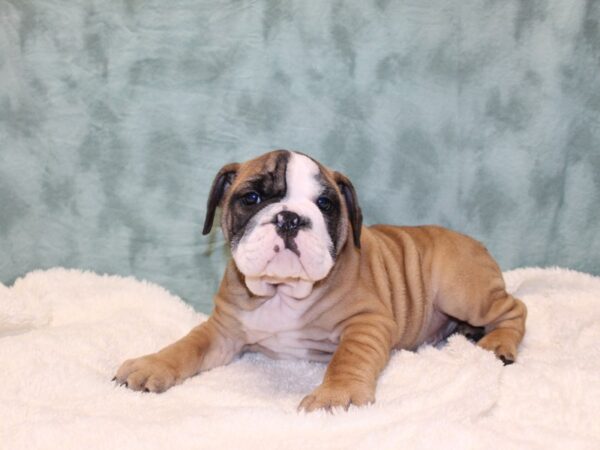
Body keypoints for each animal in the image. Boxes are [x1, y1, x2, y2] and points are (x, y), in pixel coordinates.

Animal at [115, 150, 528, 412]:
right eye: (251, 198)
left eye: (325, 204)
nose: (289, 218)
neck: (281, 291)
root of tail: (475, 242)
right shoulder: (223, 330)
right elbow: (188, 345)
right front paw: (151, 365)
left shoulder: (366, 323)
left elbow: (348, 358)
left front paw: (335, 396)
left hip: (462, 292)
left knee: (515, 308)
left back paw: (499, 343)